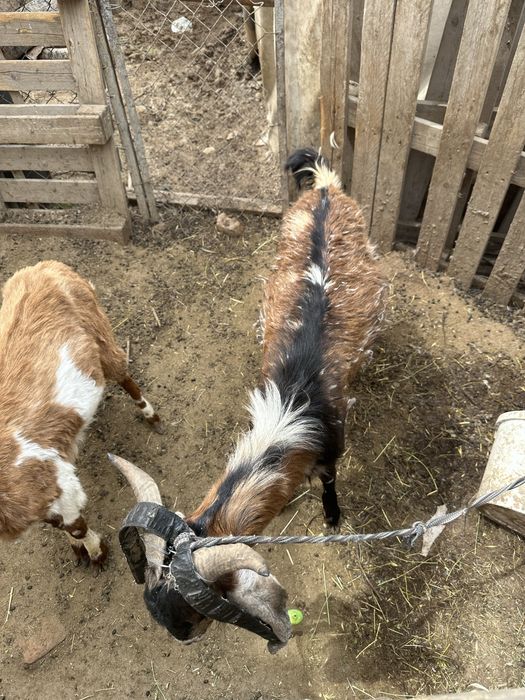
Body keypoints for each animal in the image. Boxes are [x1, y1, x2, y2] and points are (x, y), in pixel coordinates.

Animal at [0, 260, 162, 568]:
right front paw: (81, 548)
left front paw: (97, 551)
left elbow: (74, 523)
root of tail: (46, 266)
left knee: (123, 374)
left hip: (99, 330)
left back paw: (151, 416)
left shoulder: (51, 479)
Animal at [114, 148, 386, 647]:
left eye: (196, 607)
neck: (293, 407)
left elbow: (331, 480)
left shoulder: (333, 442)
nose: (180, 636)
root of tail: (324, 187)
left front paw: (333, 517)